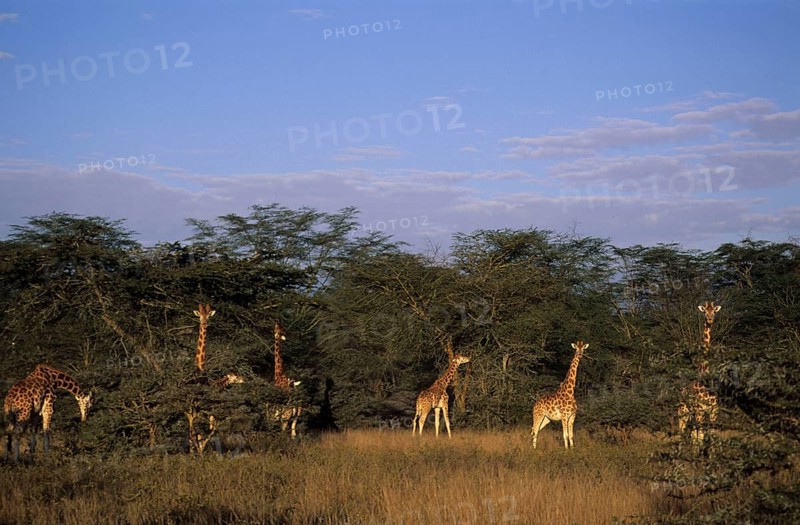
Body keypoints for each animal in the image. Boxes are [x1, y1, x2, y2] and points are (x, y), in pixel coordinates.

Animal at [678, 302, 721, 445]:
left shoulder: (713, 411)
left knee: (691, 435)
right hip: (683, 411)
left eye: (714, 311)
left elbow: (711, 435)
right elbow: (700, 437)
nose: (710, 319)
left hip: (692, 414)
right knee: (682, 432)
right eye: (705, 312)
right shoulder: (700, 410)